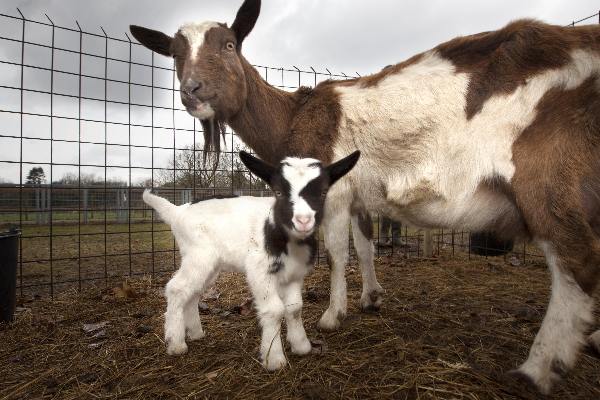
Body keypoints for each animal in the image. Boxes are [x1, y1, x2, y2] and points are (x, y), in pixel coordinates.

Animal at [144, 152, 360, 370]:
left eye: (323, 191)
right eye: (279, 192)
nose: (303, 220)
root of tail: (177, 211)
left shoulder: (294, 275)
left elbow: (294, 308)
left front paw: (301, 346)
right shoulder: (260, 270)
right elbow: (274, 310)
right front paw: (274, 359)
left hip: (209, 264)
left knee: (193, 292)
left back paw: (196, 333)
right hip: (198, 255)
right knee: (177, 288)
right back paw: (176, 344)